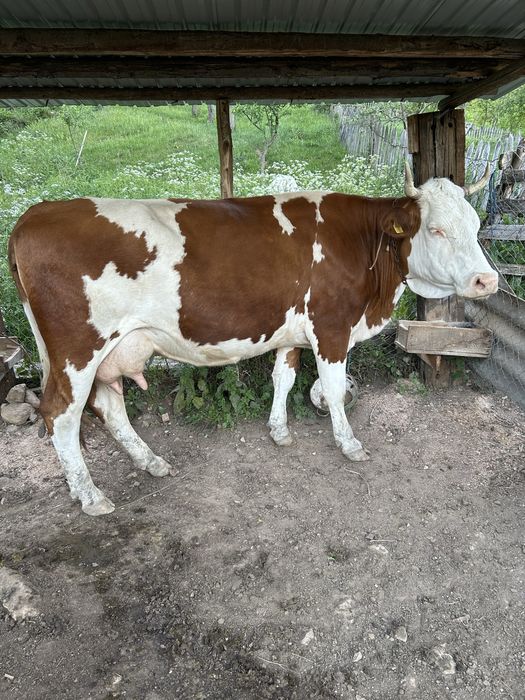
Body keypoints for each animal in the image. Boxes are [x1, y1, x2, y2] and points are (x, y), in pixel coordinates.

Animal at [8, 164, 497, 516]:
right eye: (435, 228)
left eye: (476, 226)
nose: (486, 280)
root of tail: (36, 213)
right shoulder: (331, 326)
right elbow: (334, 389)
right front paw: (349, 443)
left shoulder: (292, 330)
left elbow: (284, 378)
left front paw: (279, 431)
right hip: (77, 348)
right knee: (62, 414)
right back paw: (91, 496)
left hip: (109, 348)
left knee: (109, 404)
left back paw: (150, 462)